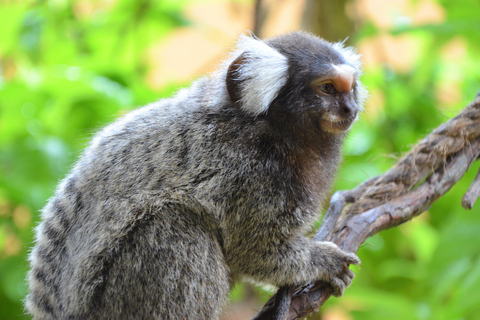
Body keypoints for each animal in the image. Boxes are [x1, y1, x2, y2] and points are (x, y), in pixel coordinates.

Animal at [28, 31, 366, 318]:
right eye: (327, 88)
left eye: (350, 88)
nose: (349, 108)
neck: (273, 129)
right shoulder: (250, 176)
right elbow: (255, 251)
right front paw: (322, 261)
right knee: (176, 223)